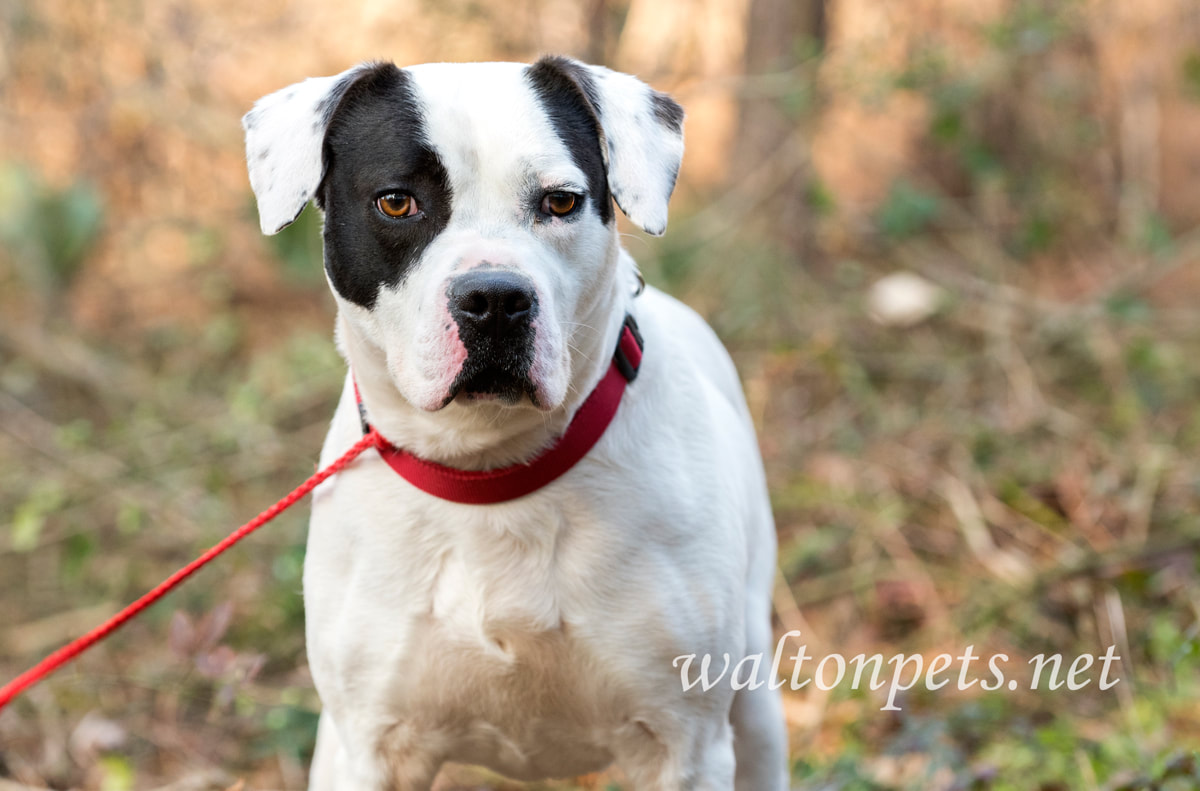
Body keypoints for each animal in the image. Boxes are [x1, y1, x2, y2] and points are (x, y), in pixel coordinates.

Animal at [243, 57, 787, 791]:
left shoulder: (687, 748)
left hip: (753, 702)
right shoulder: (368, 747)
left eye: (560, 201)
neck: (487, 473)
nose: (495, 298)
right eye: (396, 202)